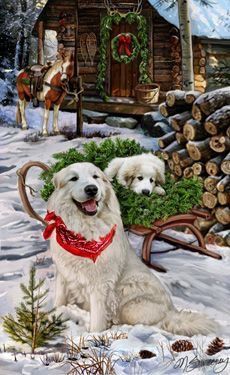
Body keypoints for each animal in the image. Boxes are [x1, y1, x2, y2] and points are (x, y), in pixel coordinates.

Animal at [46, 163, 217, 336]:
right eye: (74, 178)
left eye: (95, 177)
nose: (92, 189)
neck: (81, 232)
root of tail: (172, 311)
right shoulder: (63, 274)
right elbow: (59, 300)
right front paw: (55, 315)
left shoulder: (100, 284)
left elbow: (97, 319)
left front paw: (93, 334)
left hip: (130, 303)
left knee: (160, 324)